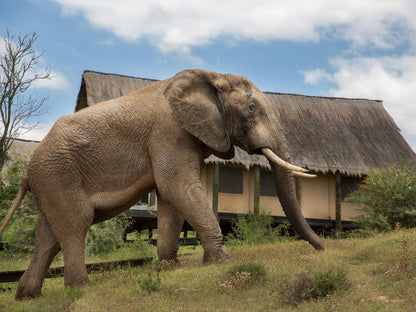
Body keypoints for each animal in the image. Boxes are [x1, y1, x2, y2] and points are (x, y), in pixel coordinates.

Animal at [0, 69, 324, 300]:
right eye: (253, 107)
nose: (321, 248)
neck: (213, 75)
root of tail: (27, 171)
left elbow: (171, 198)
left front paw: (170, 267)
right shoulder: (170, 133)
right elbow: (177, 187)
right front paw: (222, 261)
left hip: (51, 181)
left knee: (49, 235)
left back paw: (27, 296)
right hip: (59, 174)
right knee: (75, 224)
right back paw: (81, 290)